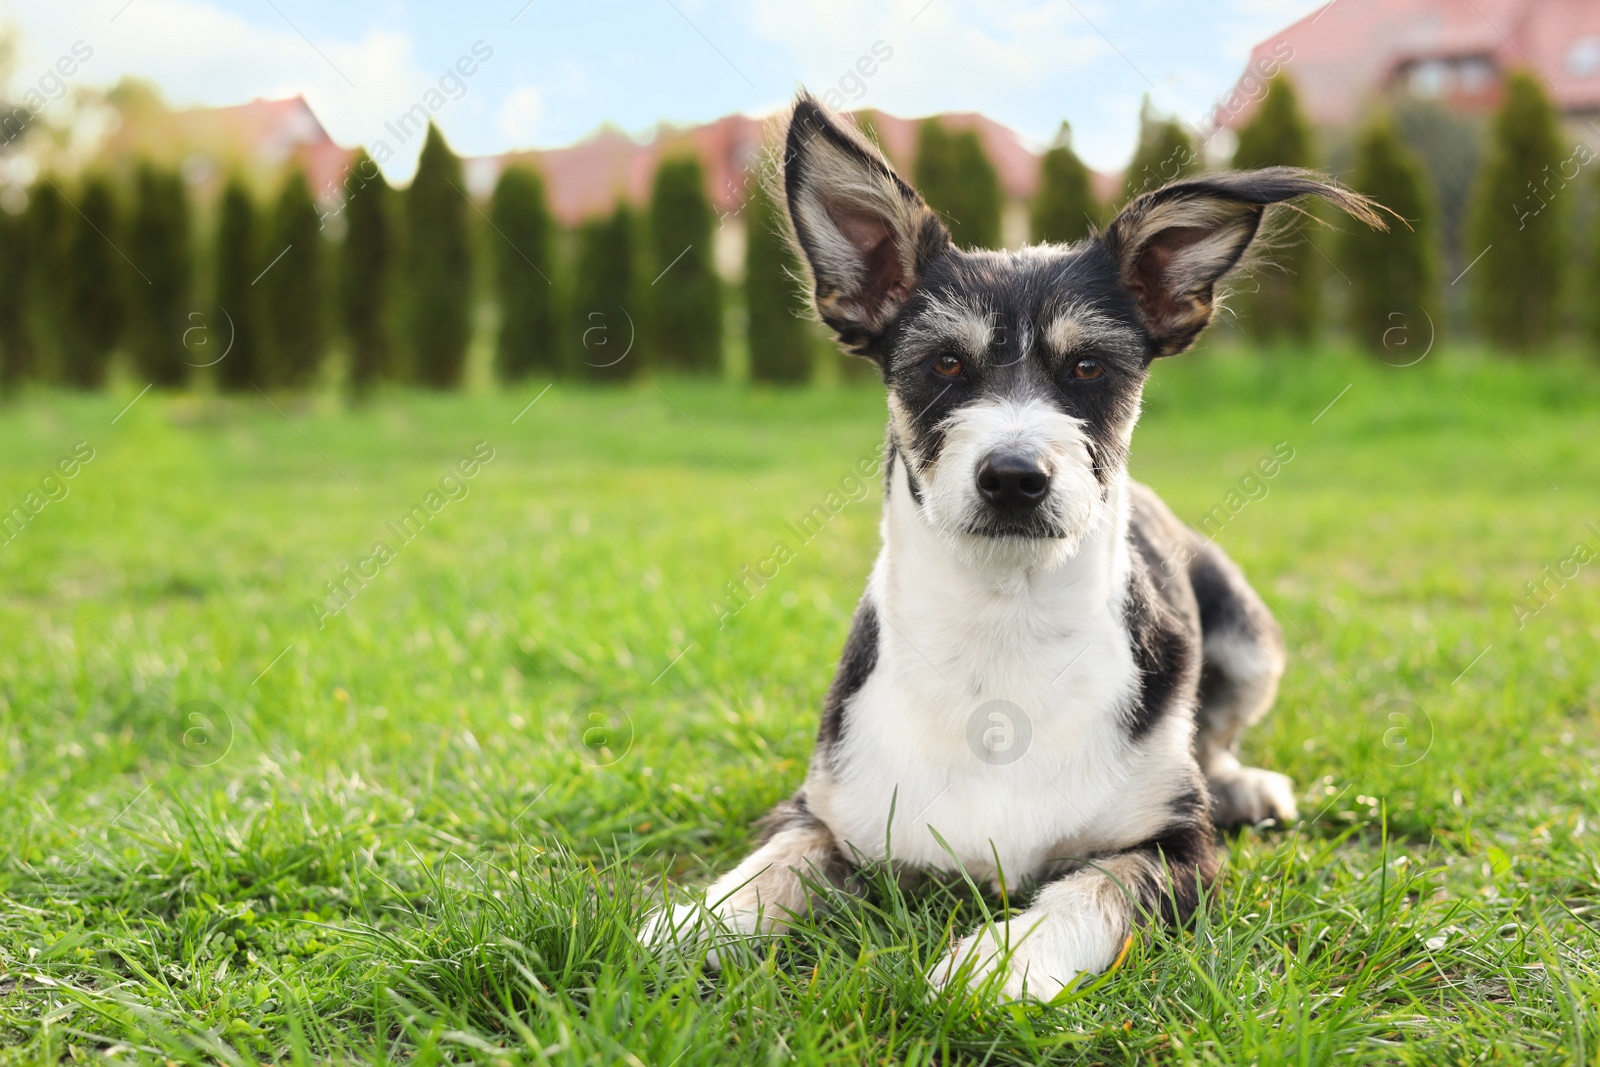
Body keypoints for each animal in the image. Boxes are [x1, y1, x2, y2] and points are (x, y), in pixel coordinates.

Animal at [643, 91, 1382, 1004]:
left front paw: (1001, 959)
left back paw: (1245, 784)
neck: (1004, 626)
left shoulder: (1179, 854)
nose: (1015, 475)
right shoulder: (823, 807)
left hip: (1249, 636)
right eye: (944, 364)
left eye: (1091, 368)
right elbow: (777, 860)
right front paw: (695, 920)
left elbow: (1094, 888)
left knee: (1217, 735)